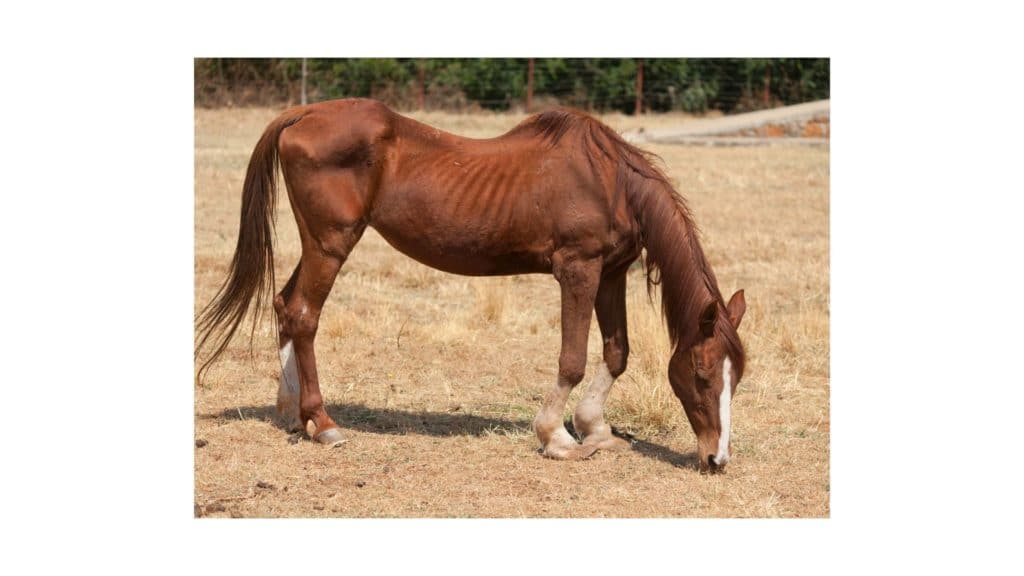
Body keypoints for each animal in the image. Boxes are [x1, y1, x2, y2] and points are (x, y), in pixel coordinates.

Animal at [195, 97, 749, 471]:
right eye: (700, 374)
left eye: (736, 377)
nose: (716, 459)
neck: (611, 181)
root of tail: (302, 113)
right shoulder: (577, 270)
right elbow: (572, 358)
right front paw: (556, 437)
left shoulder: (610, 273)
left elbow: (617, 353)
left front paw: (595, 428)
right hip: (331, 244)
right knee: (304, 315)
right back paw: (324, 424)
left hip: (317, 244)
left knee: (285, 306)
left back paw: (291, 413)